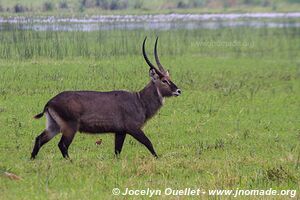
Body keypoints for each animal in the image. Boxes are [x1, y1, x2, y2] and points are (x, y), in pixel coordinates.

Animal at [31, 37, 180, 159]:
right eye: (164, 80)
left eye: (169, 78)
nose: (178, 90)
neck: (140, 100)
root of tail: (49, 102)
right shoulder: (133, 128)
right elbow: (148, 143)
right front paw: (158, 158)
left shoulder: (120, 132)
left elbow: (117, 151)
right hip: (69, 127)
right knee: (62, 145)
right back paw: (70, 161)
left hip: (54, 126)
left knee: (39, 139)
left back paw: (32, 159)